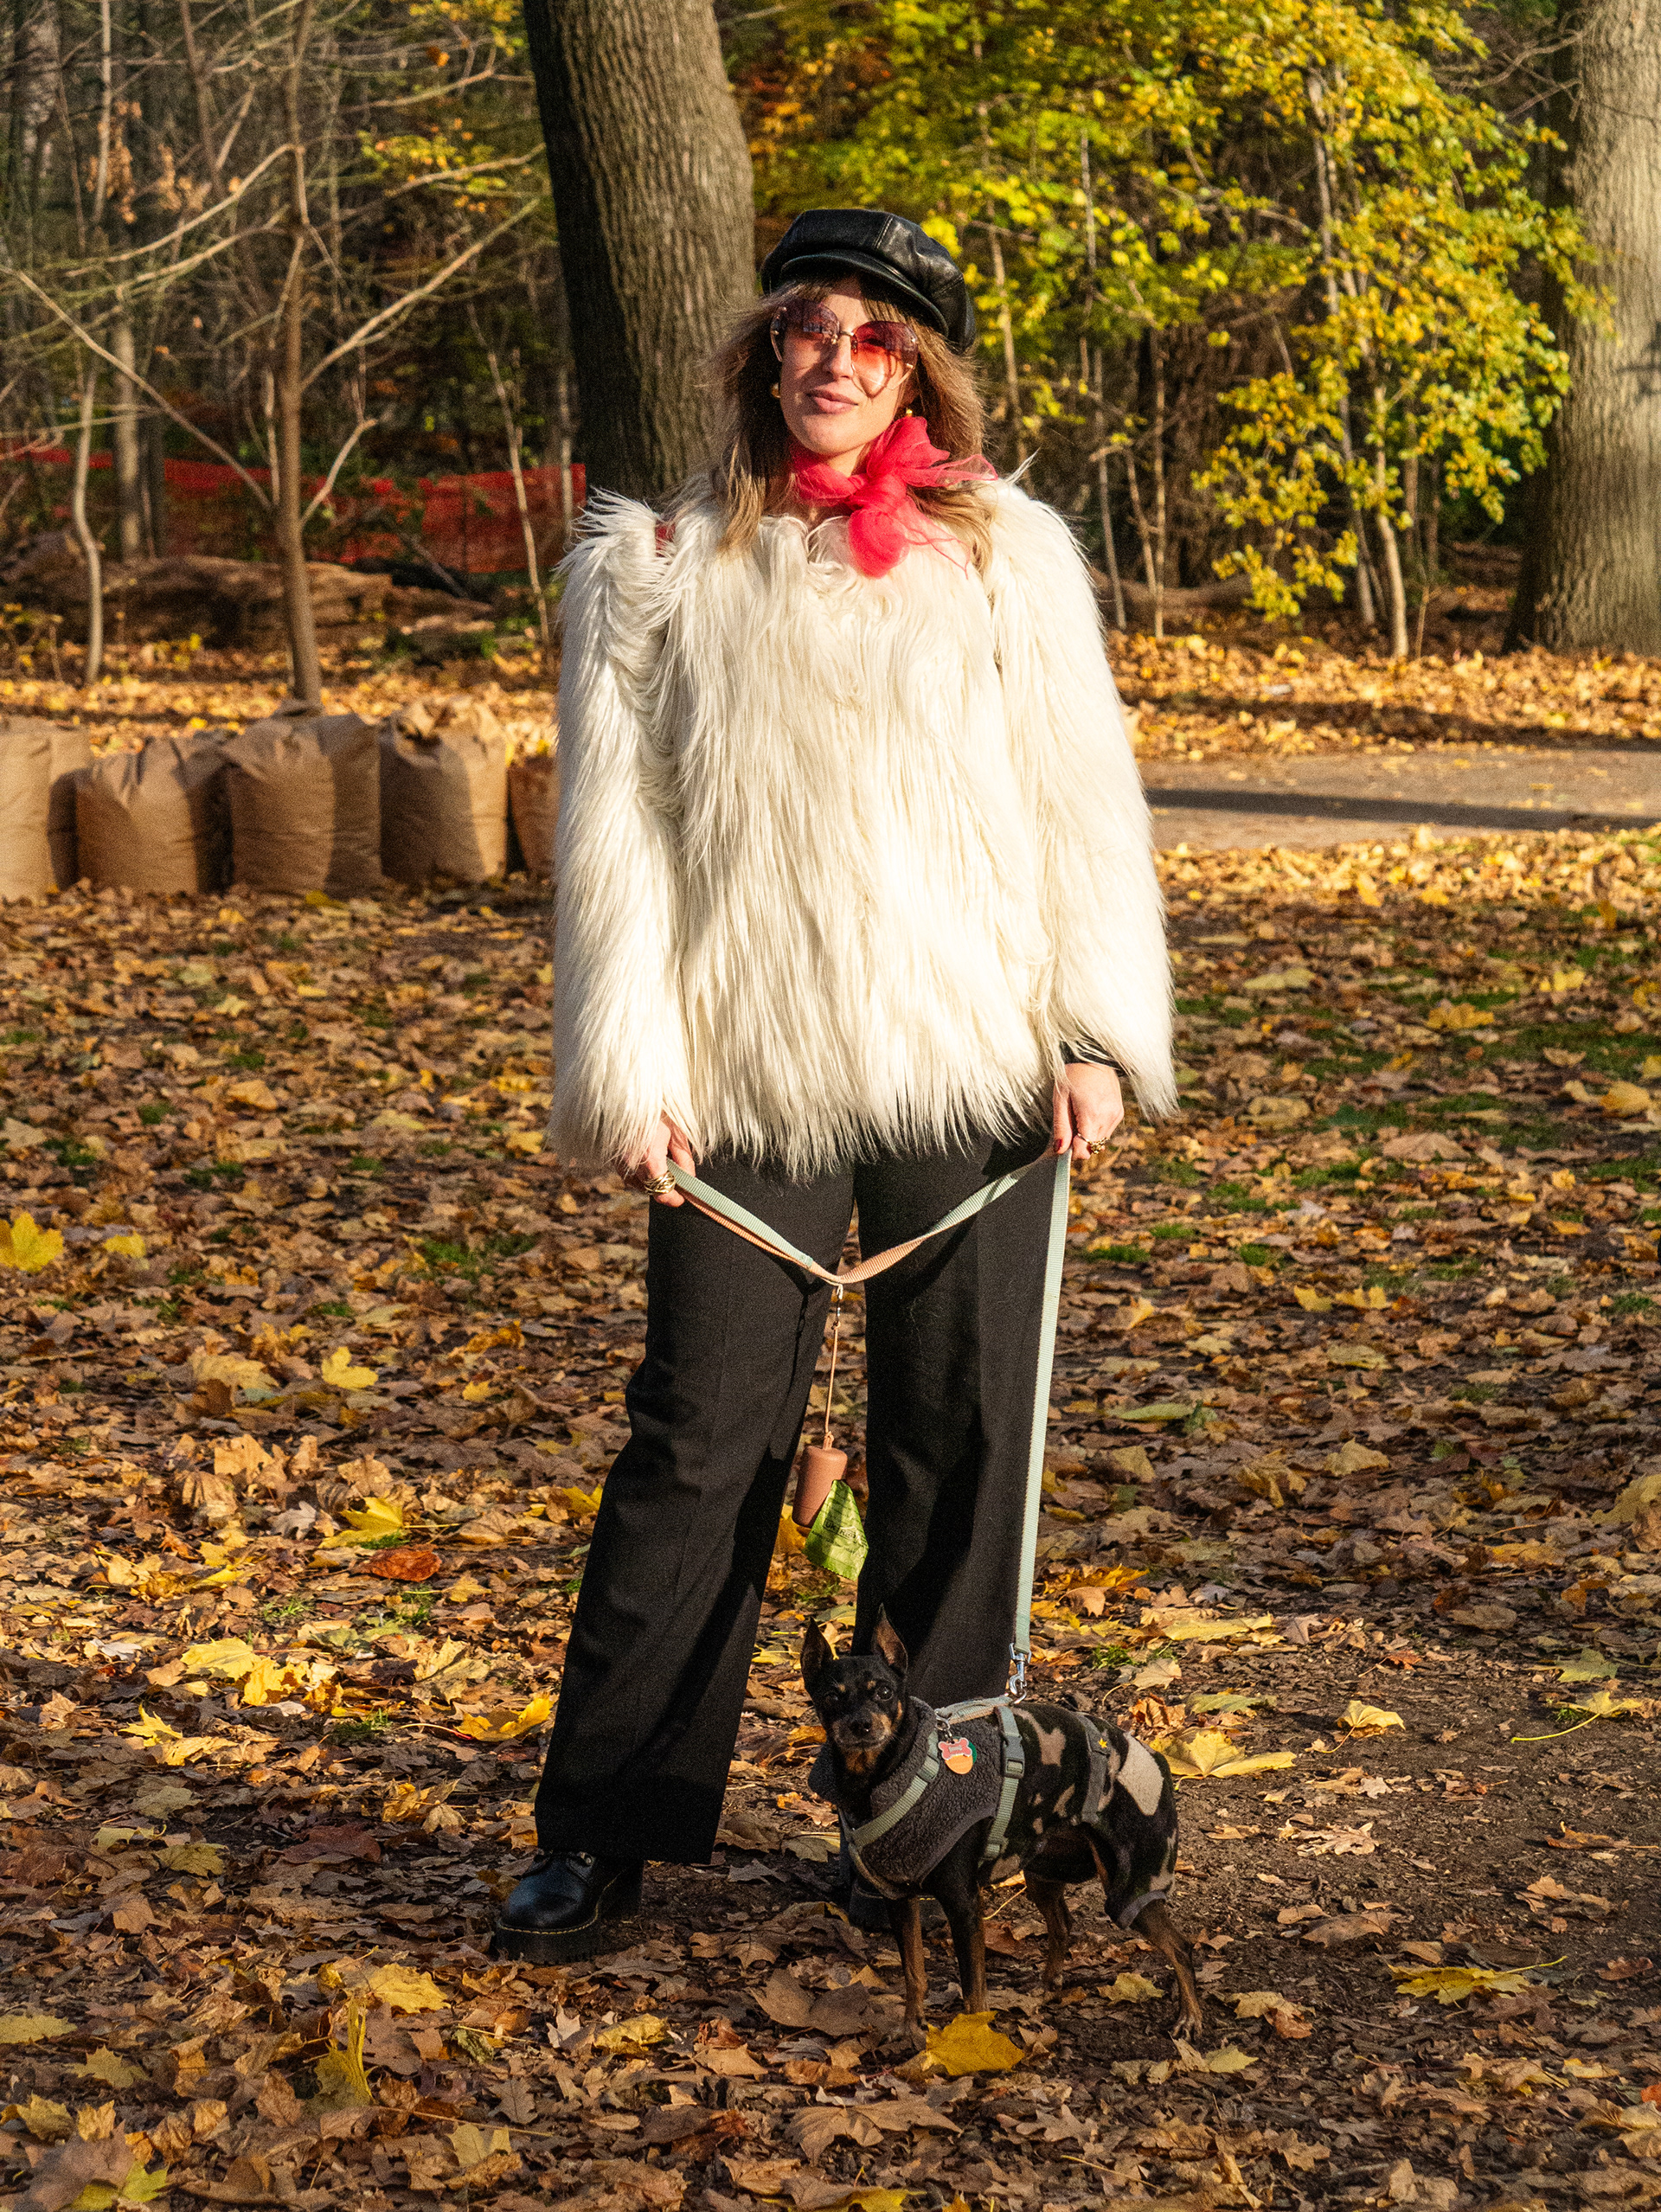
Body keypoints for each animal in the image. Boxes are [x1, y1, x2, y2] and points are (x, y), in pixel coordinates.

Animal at [803, 1614, 1202, 2043]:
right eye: (832, 1697)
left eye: (885, 1692)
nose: (861, 1725)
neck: (882, 1776)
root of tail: (1154, 1757)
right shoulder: (898, 1896)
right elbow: (914, 1974)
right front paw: (911, 2028)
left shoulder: (963, 1903)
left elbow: (974, 1991)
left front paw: (975, 2039)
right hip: (1043, 1873)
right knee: (1063, 1924)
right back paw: (1048, 1986)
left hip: (1131, 1884)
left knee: (1180, 1946)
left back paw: (1190, 2017)